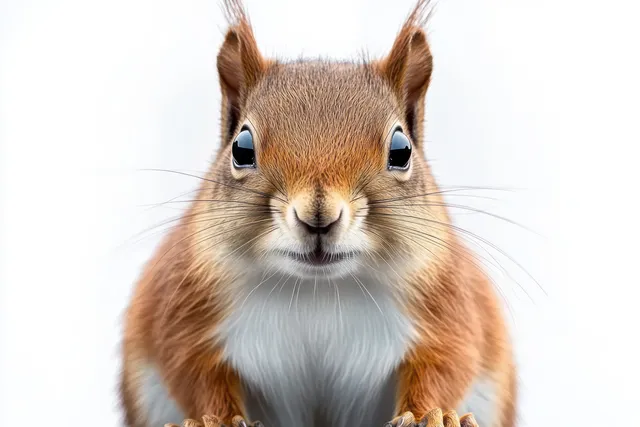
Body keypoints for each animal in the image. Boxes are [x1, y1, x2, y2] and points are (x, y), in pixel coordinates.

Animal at [119, 1, 517, 426]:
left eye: (401, 150)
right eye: (241, 148)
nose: (318, 216)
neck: (317, 290)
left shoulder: (447, 306)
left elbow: (445, 363)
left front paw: (432, 415)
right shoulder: (183, 310)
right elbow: (194, 371)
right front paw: (219, 419)